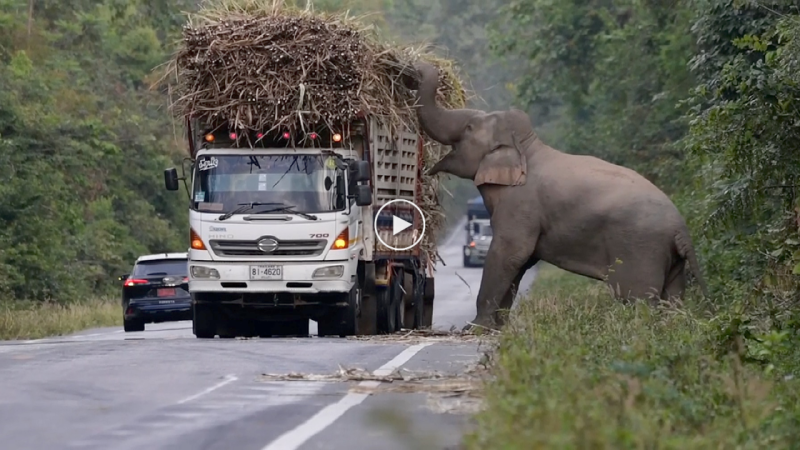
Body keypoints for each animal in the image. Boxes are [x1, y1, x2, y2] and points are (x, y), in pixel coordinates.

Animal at [410, 60, 708, 330]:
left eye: (470, 128)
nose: (418, 66)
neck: (527, 147)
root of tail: (681, 228)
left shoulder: (520, 205)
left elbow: (510, 252)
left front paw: (475, 328)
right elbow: (521, 261)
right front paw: (498, 328)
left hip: (640, 250)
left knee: (637, 300)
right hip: (669, 259)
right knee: (673, 298)